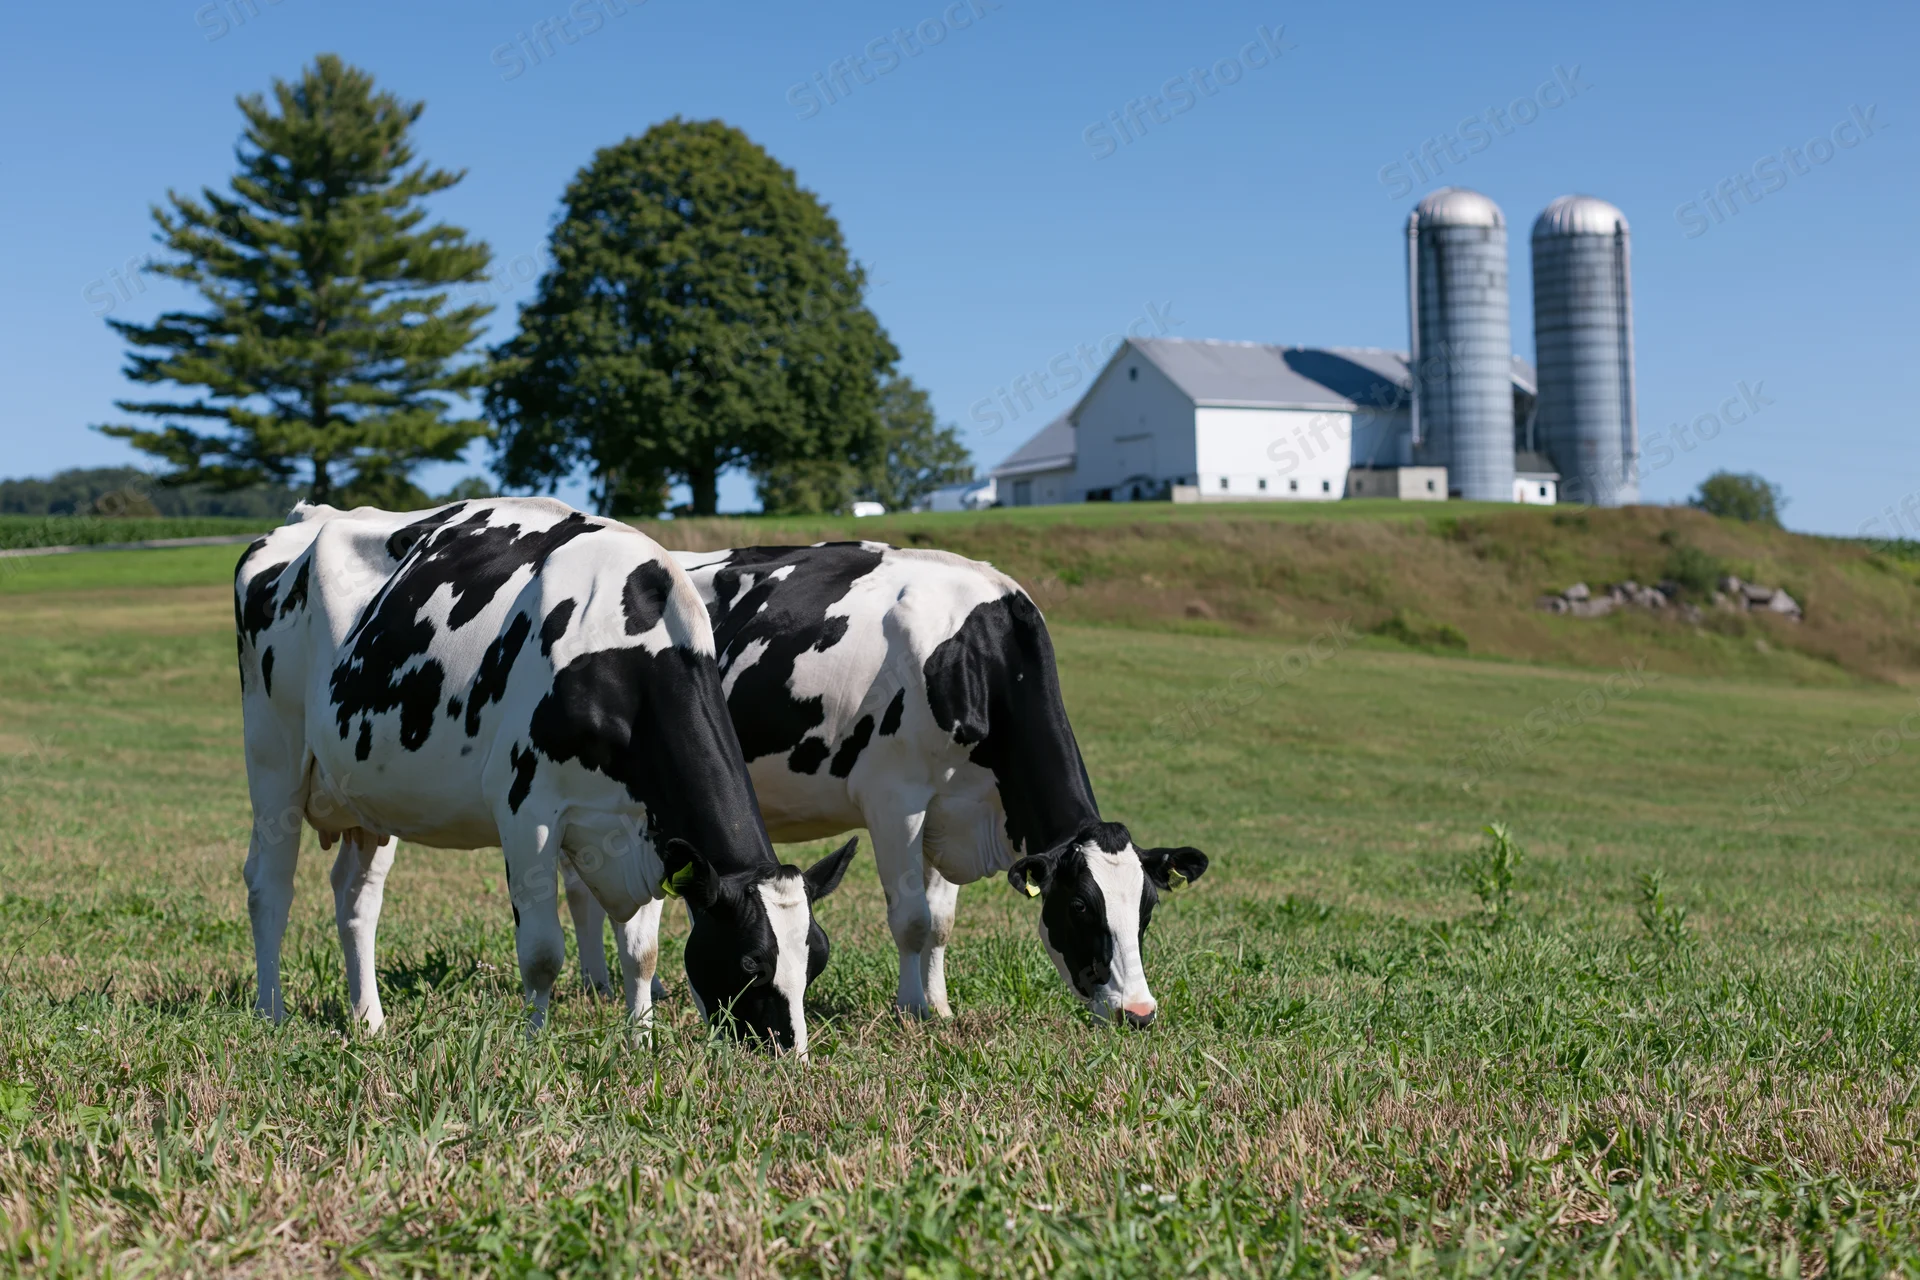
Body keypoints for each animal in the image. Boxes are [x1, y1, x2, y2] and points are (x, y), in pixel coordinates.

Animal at [233, 498, 858, 1052]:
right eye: (750, 960)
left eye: (818, 958)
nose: (791, 1054)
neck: (619, 652)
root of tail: (309, 515)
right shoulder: (526, 813)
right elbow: (541, 952)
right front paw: (536, 1042)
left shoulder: (652, 826)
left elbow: (642, 950)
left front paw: (641, 1040)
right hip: (273, 760)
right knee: (270, 887)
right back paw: (271, 1012)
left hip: (368, 795)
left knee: (357, 900)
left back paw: (369, 1020)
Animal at [564, 542, 1208, 1027]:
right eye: (1078, 905)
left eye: (1147, 909)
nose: (1139, 1011)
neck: (968, 653)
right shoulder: (896, 801)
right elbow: (912, 919)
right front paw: (910, 1010)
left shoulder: (950, 809)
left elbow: (941, 923)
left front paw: (940, 1007)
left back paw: (605, 983)